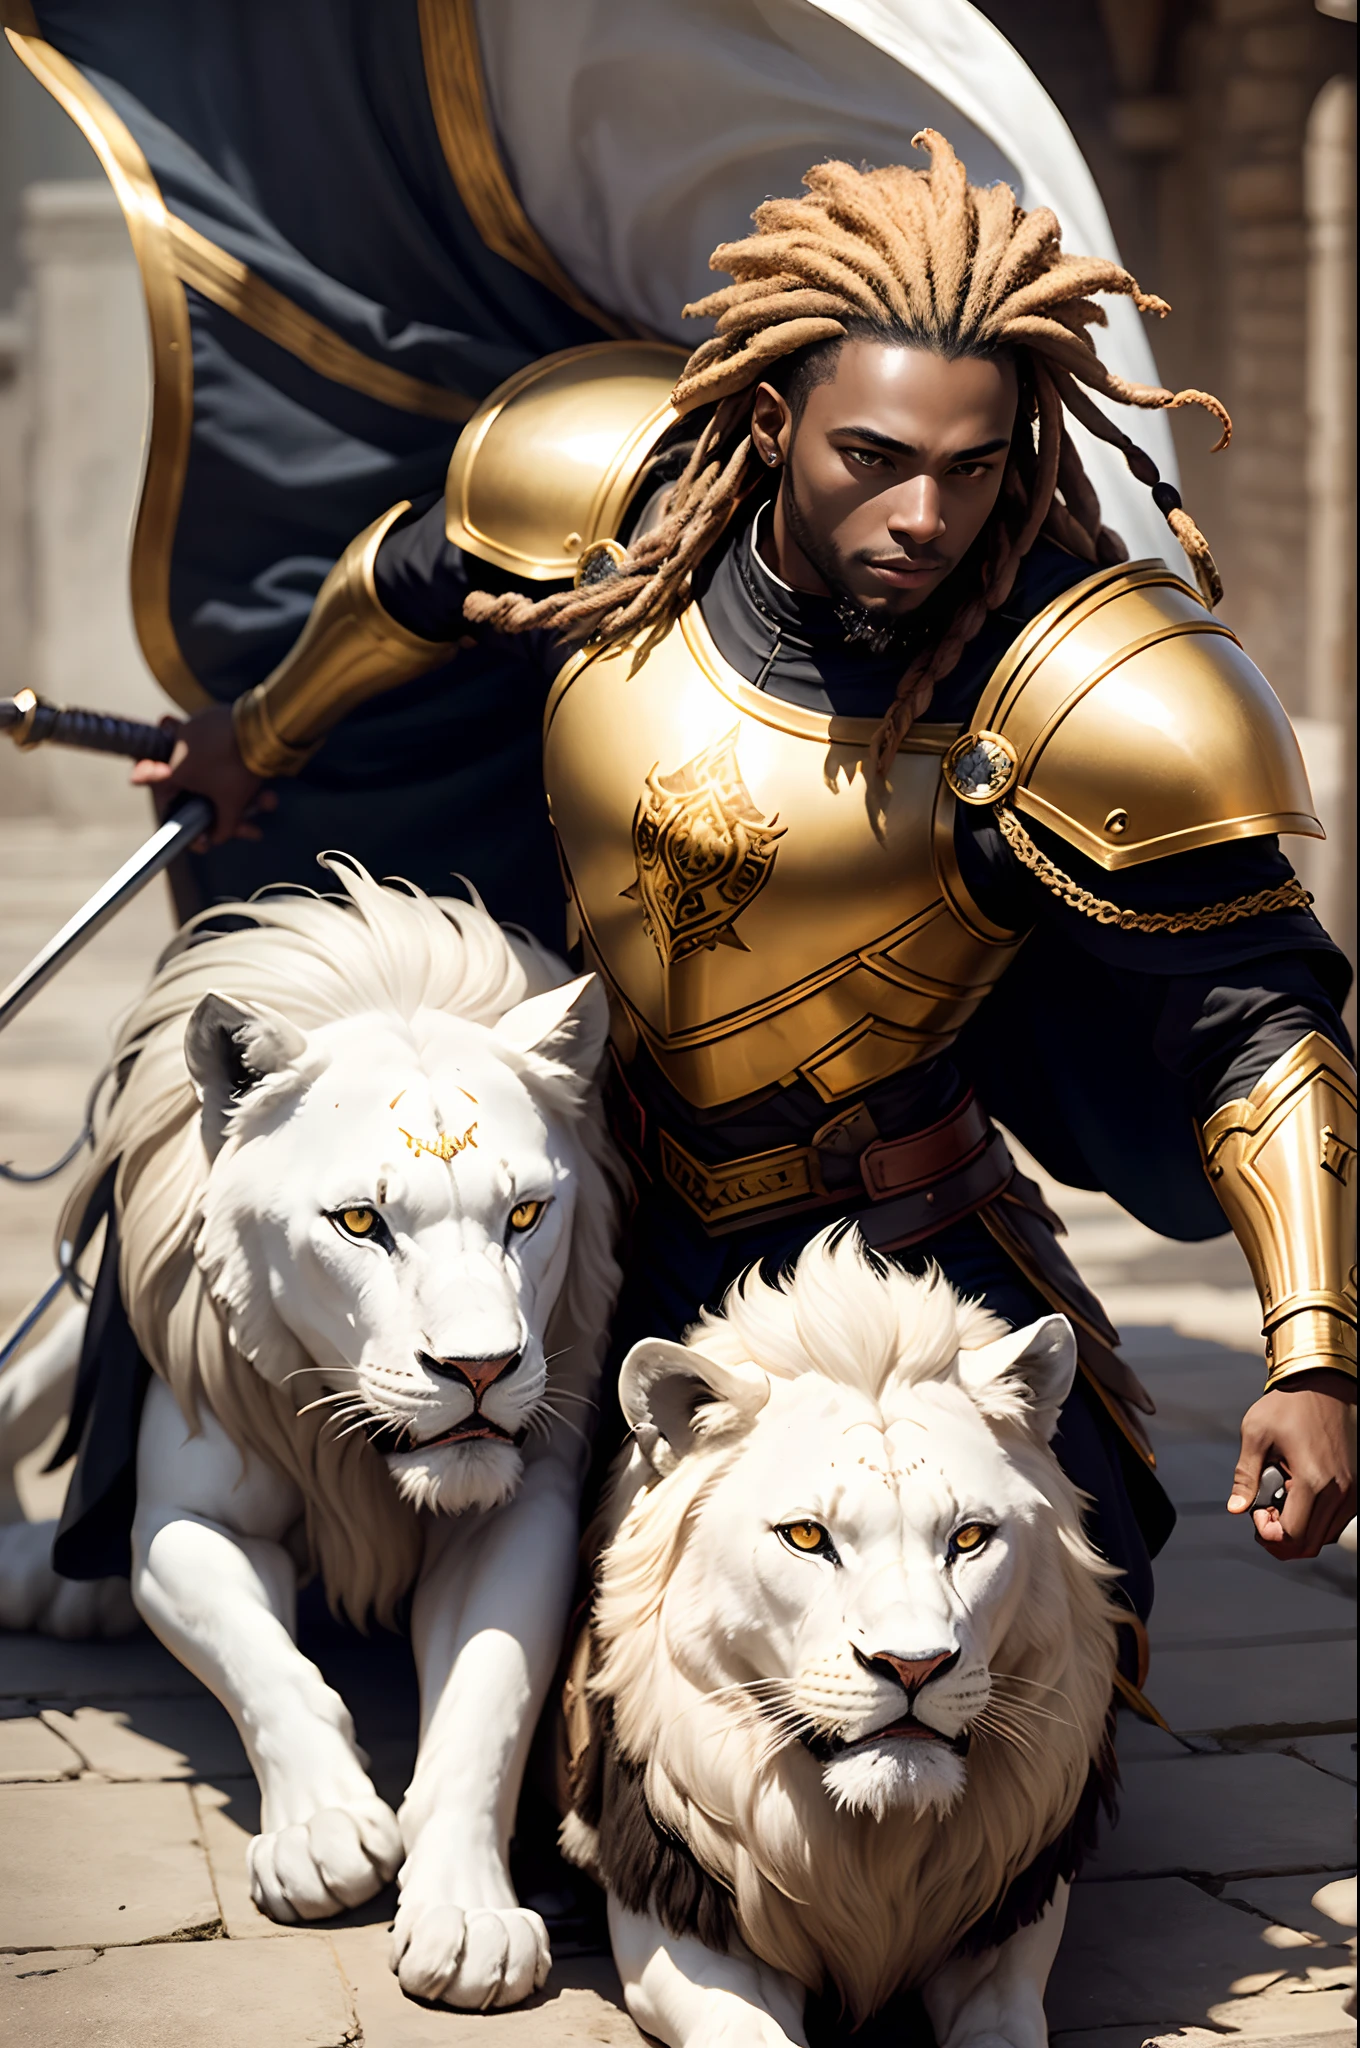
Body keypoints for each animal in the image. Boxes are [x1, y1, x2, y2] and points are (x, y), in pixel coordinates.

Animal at [0, 856, 622, 2007]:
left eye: (524, 1214)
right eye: (361, 1223)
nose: (479, 1370)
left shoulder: (518, 1514)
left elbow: (486, 1698)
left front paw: (469, 1917)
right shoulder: (188, 1517)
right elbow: (267, 1665)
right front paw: (326, 1834)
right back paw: (43, 1576)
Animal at [561, 1220, 1114, 2039]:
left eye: (970, 1539)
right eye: (806, 1537)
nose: (914, 1667)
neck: (875, 1846)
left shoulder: (1007, 1909)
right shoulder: (675, 1919)